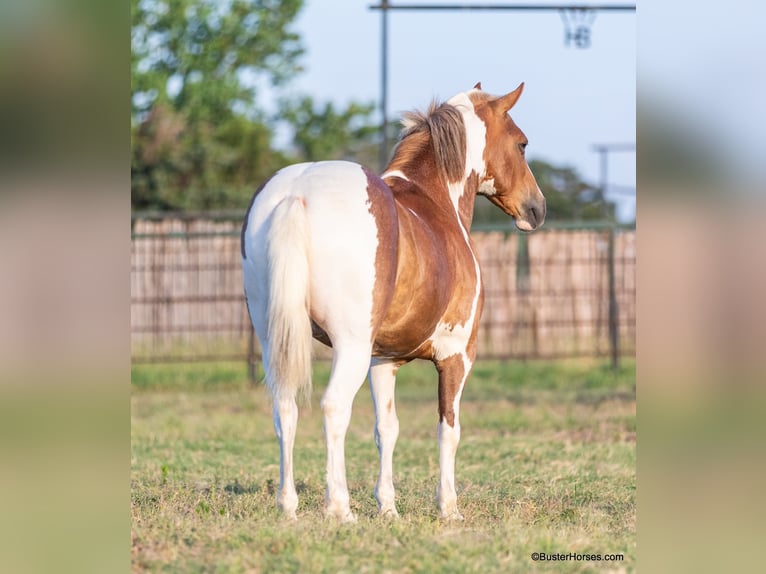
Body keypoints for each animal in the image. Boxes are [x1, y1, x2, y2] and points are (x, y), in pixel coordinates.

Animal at [241, 82, 546, 522]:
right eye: (522, 144)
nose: (537, 209)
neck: (435, 200)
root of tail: (297, 195)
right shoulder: (457, 356)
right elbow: (448, 429)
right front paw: (448, 507)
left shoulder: (383, 360)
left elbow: (386, 429)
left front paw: (387, 507)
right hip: (349, 348)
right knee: (333, 409)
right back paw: (340, 508)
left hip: (273, 341)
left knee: (285, 410)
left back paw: (289, 505)